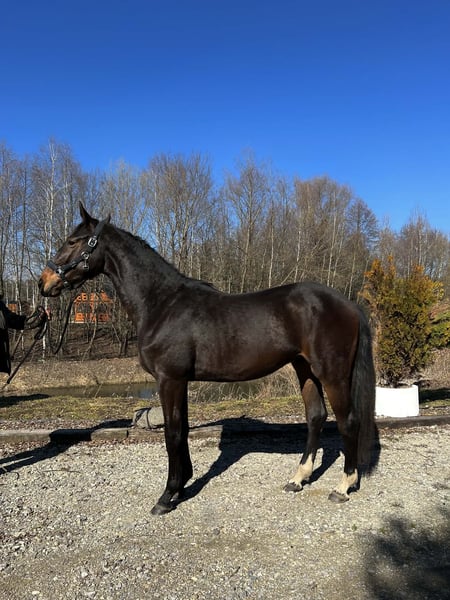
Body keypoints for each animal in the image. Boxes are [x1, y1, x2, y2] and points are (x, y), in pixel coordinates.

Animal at [39, 203, 376, 515]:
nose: (44, 282)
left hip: (332, 373)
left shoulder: (170, 380)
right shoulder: (181, 382)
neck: (162, 304)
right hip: (304, 368)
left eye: (73, 241)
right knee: (315, 417)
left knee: (348, 420)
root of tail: (348, 304)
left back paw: (343, 486)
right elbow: (183, 429)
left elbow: (173, 433)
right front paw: (182, 484)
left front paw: (167, 495)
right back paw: (298, 478)